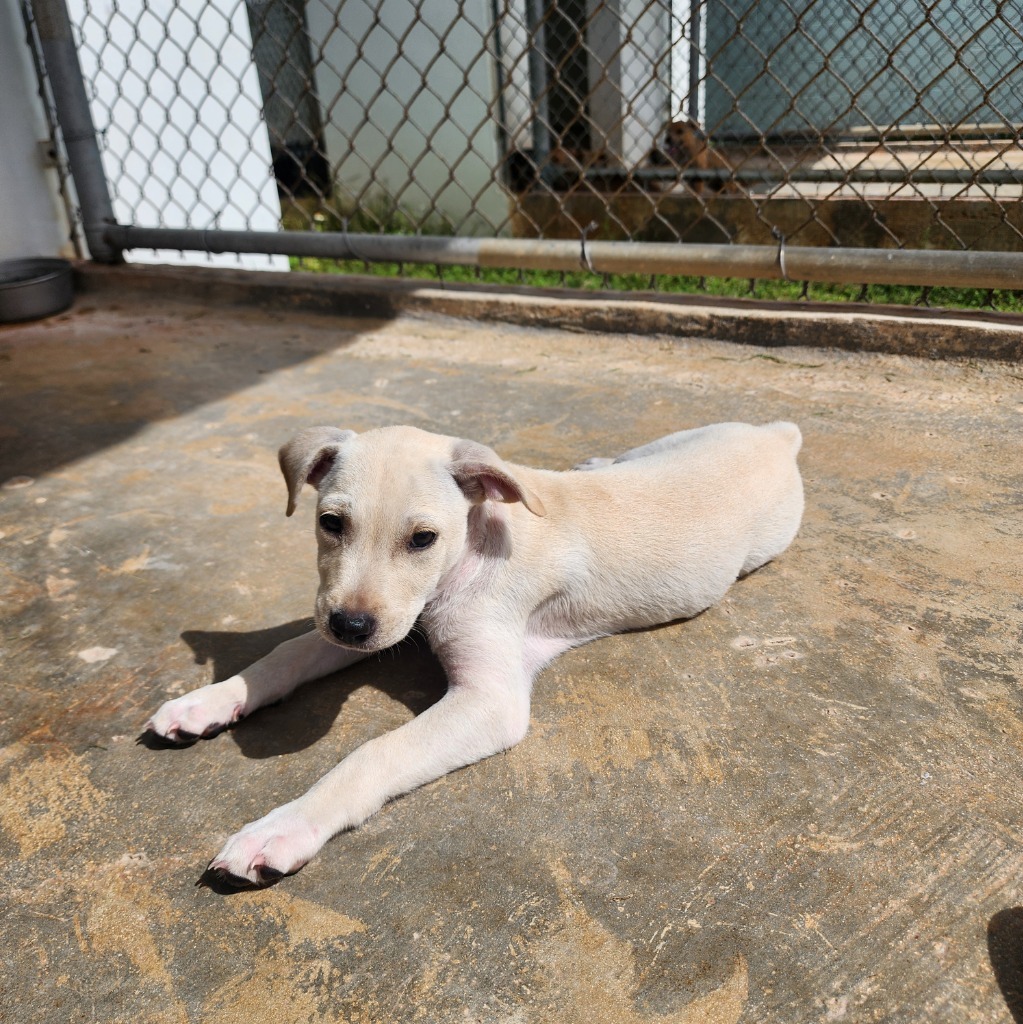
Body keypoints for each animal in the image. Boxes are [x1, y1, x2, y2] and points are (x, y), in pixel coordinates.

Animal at [146, 419, 798, 884]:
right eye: (330, 523)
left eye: (423, 539)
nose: (350, 626)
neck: (472, 549)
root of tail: (775, 434)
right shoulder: (385, 621)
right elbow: (286, 653)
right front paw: (208, 701)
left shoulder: (487, 698)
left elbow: (373, 753)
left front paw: (283, 827)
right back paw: (596, 461)